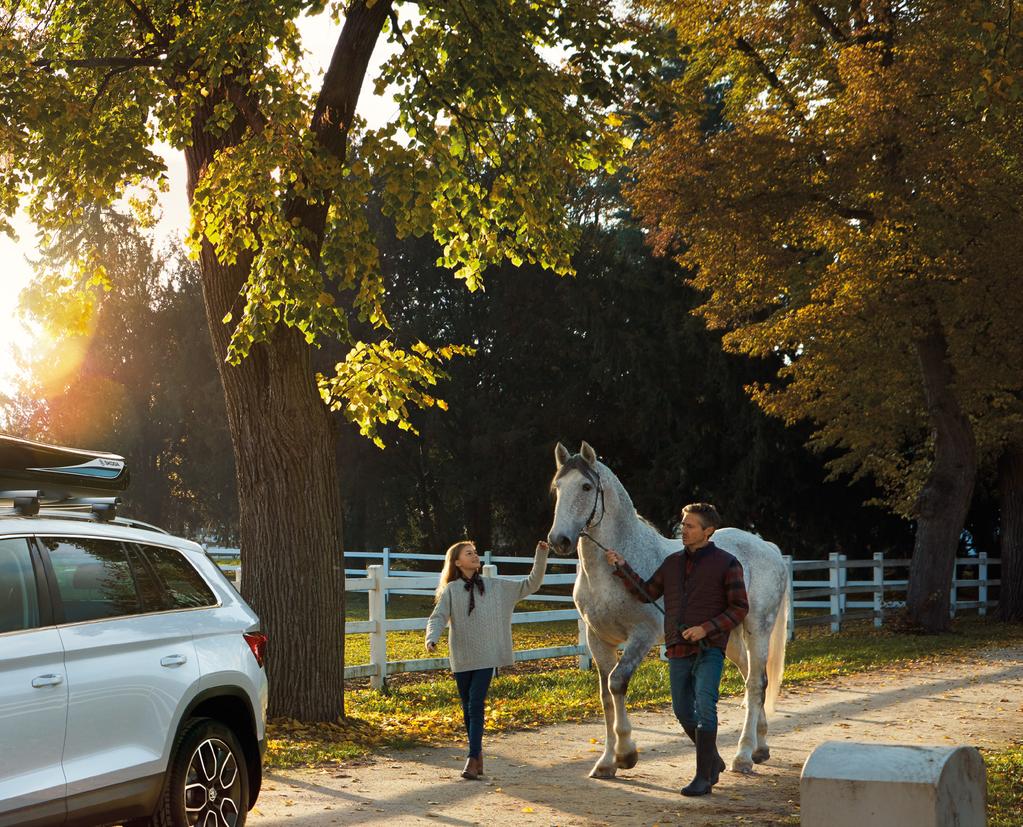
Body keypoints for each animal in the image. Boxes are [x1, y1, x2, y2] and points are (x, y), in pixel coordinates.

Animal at [548, 442, 785, 777]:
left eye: (585, 486)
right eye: (557, 487)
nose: (559, 540)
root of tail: (768, 547)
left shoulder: (642, 636)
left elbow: (617, 683)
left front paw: (626, 754)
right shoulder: (597, 639)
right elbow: (606, 696)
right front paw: (606, 762)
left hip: (758, 628)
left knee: (755, 683)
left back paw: (743, 755)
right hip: (729, 636)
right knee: (752, 678)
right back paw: (760, 747)